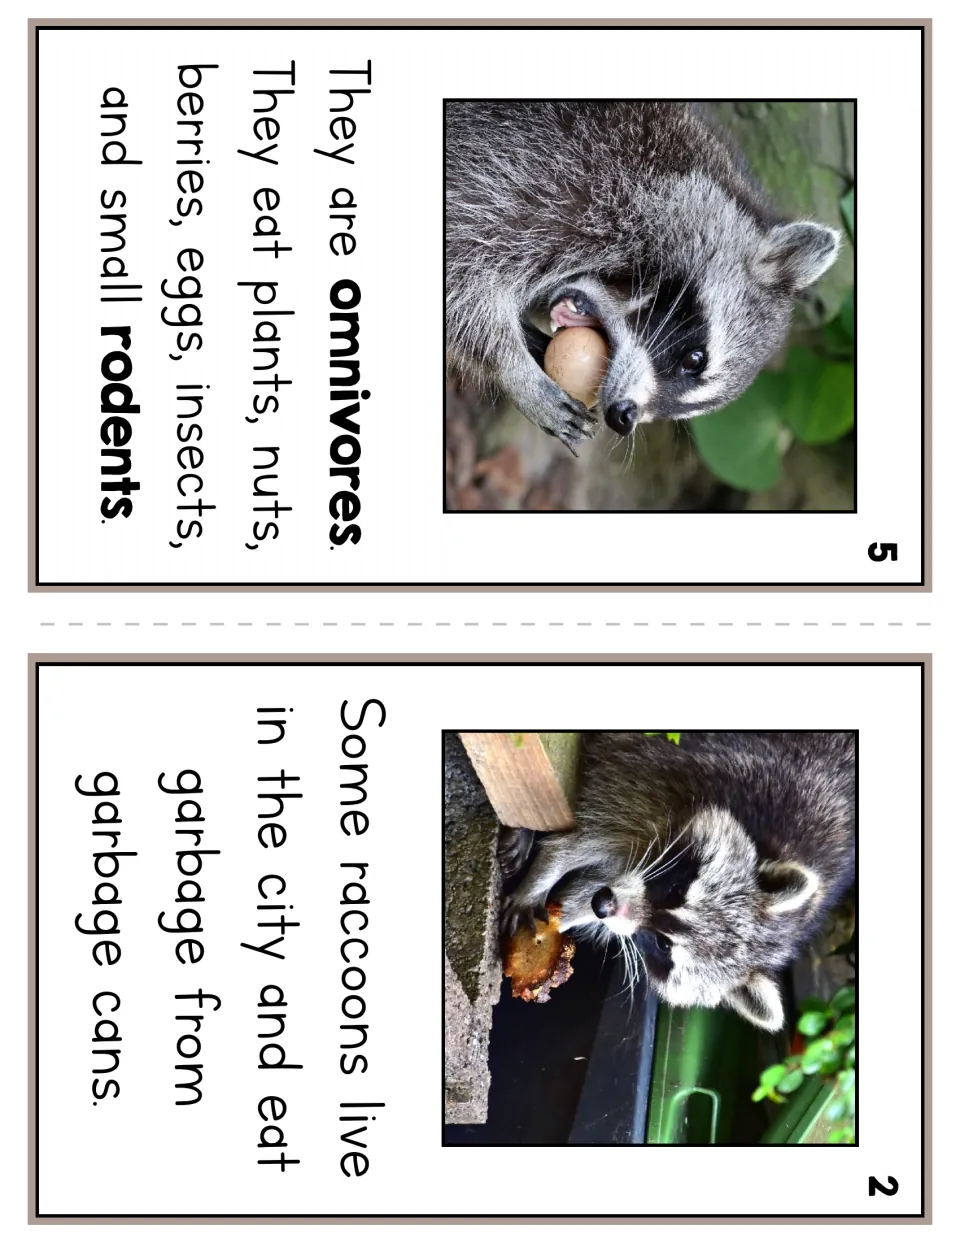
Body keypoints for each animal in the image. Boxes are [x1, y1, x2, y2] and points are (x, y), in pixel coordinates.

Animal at [499, 732, 855, 1030]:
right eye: (676, 890)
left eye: (663, 945)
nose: (604, 904)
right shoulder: (681, 773)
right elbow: (580, 841)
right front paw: (544, 874)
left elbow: (581, 892)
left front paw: (564, 919)